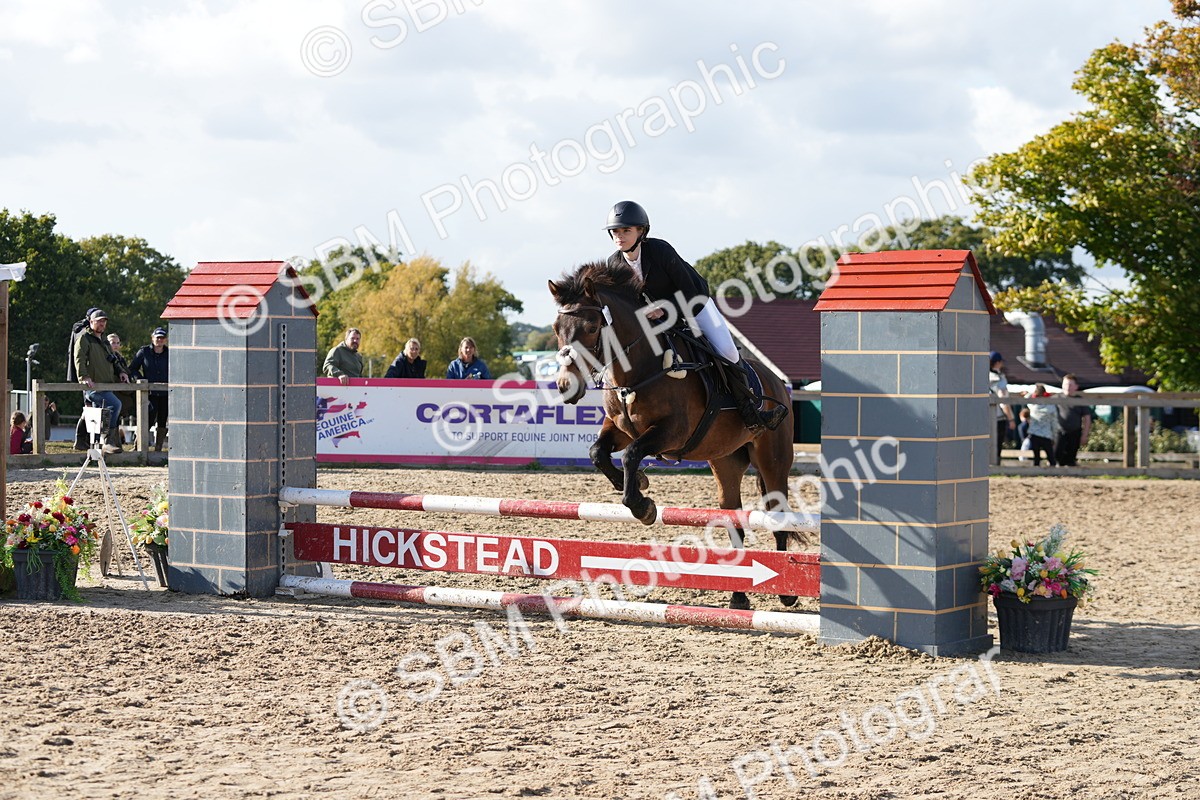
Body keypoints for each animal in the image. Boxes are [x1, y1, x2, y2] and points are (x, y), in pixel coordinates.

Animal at [548, 260, 799, 610]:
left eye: (593, 327)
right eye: (557, 328)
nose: (565, 387)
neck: (640, 369)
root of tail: (776, 381)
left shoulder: (672, 432)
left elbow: (630, 455)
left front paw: (642, 506)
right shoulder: (620, 428)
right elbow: (598, 453)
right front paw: (637, 483)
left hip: (772, 459)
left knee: (778, 514)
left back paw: (788, 592)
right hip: (725, 460)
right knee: (733, 518)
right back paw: (738, 597)